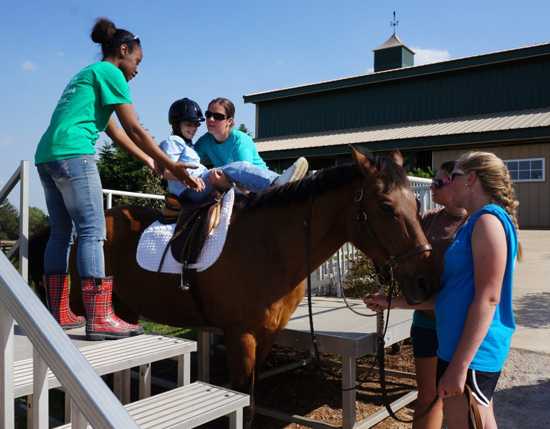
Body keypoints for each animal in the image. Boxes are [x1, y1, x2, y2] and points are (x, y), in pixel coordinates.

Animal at [30, 149, 438, 400]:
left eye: (416, 204)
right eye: (386, 206)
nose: (425, 281)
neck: (270, 244)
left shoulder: (266, 335)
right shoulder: (241, 336)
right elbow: (242, 394)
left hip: (126, 307)